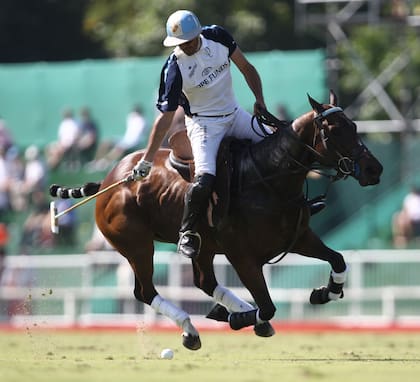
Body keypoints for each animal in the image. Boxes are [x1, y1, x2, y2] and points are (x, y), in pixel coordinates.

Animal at [49, 89, 384, 350]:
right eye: (334, 131)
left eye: (354, 126)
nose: (374, 170)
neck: (270, 180)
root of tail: (109, 181)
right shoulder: (243, 256)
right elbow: (268, 306)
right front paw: (239, 318)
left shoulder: (299, 238)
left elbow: (338, 259)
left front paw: (327, 291)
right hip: (137, 245)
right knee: (146, 291)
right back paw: (192, 329)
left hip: (202, 246)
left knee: (203, 281)